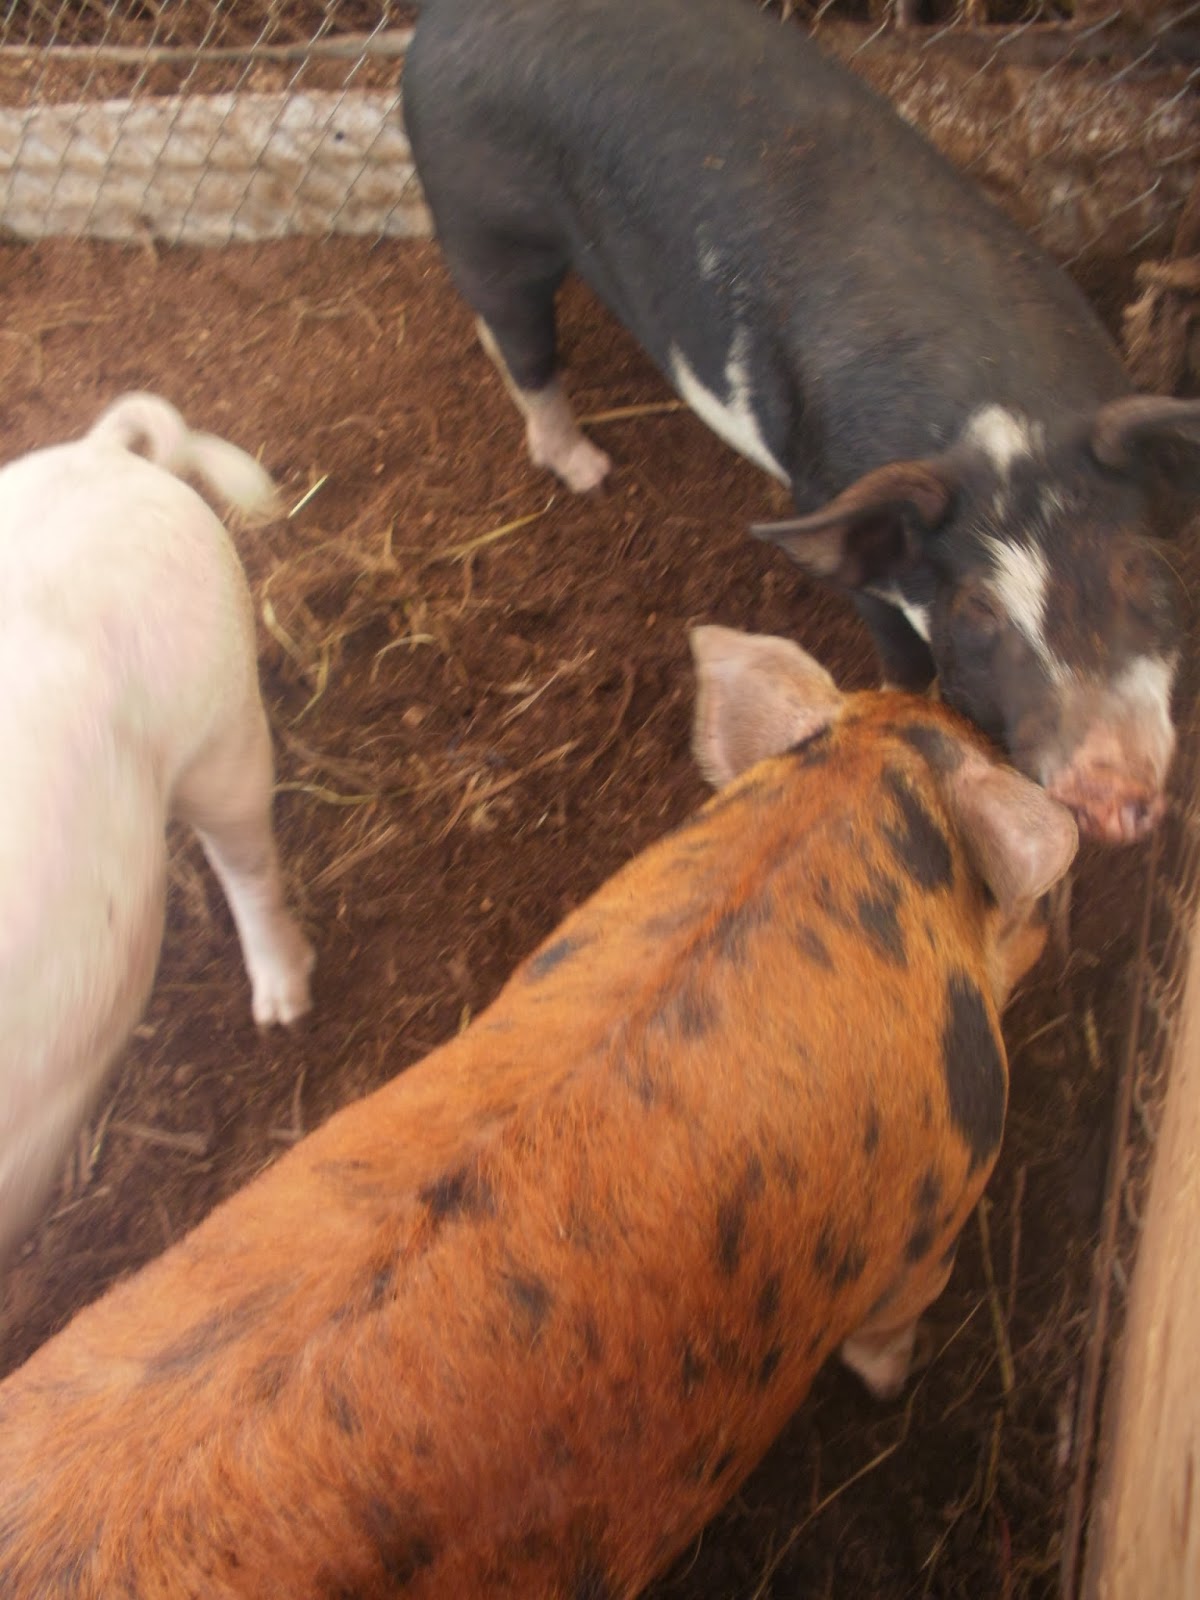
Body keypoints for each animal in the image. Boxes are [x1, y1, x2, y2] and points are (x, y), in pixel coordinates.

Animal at [403, 0, 1200, 844]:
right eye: (981, 607)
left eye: (1142, 571)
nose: (1114, 793)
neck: (1003, 417)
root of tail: (441, 21)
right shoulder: (836, 511)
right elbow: (903, 658)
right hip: (482, 224)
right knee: (522, 342)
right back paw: (590, 471)